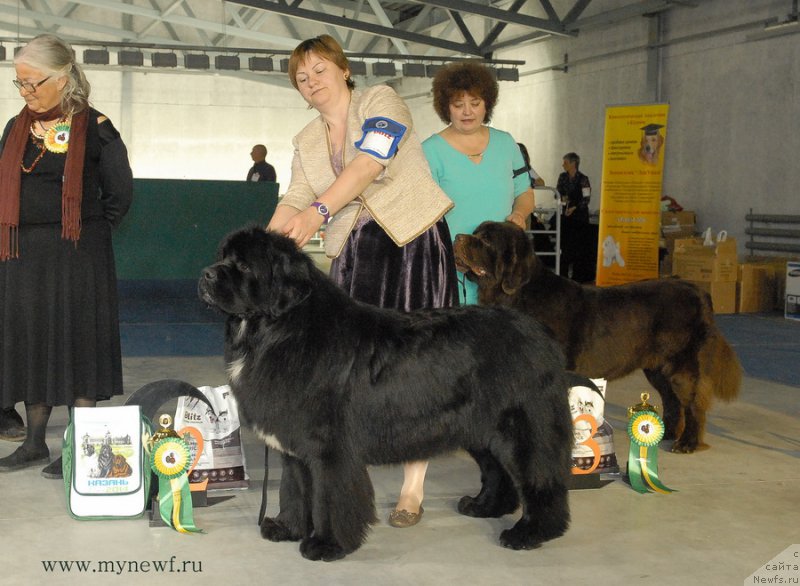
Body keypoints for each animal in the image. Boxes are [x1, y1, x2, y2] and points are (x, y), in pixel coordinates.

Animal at [200, 225, 576, 560]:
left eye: (243, 266)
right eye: (221, 257)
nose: (205, 274)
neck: (279, 330)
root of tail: (541, 334)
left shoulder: (329, 448)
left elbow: (327, 496)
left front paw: (326, 545)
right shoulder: (294, 445)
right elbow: (294, 490)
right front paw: (287, 528)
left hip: (523, 428)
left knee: (541, 479)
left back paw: (530, 533)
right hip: (479, 428)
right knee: (499, 472)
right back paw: (484, 507)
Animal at [454, 219, 740, 452]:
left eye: (486, 239)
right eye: (475, 232)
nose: (457, 237)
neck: (517, 296)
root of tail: (696, 290)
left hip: (683, 365)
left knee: (693, 402)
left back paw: (687, 443)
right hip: (657, 368)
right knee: (671, 400)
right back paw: (666, 434)